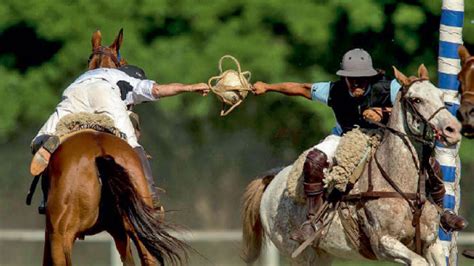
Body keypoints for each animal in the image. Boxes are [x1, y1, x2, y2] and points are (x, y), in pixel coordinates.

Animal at [241, 65, 460, 266]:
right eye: (416, 100)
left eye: (442, 96)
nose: (453, 129)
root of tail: (274, 178)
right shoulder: (383, 243)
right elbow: (418, 261)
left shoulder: (431, 242)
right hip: (300, 254)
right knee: (316, 158)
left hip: (323, 254)